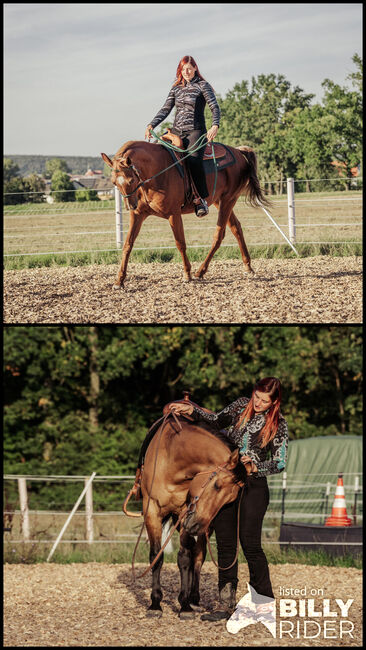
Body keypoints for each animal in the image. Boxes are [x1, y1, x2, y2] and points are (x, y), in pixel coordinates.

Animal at [100, 137, 268, 286]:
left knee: (219, 235)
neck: (156, 171)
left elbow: (180, 243)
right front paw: (119, 280)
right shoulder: (138, 215)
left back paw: (200, 271)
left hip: (229, 199)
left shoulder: (173, 214)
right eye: (114, 182)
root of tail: (238, 151)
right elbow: (128, 244)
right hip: (219, 201)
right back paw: (247, 266)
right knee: (236, 227)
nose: (130, 206)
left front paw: (187, 274)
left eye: (131, 180)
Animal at [123, 404, 249, 616]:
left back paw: (194, 598)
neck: (172, 459)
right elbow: (156, 556)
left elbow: (184, 558)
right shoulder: (152, 511)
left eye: (230, 500)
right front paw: (155, 604)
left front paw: (185, 605)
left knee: (197, 556)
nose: (196, 525)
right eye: (216, 485)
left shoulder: (185, 514)